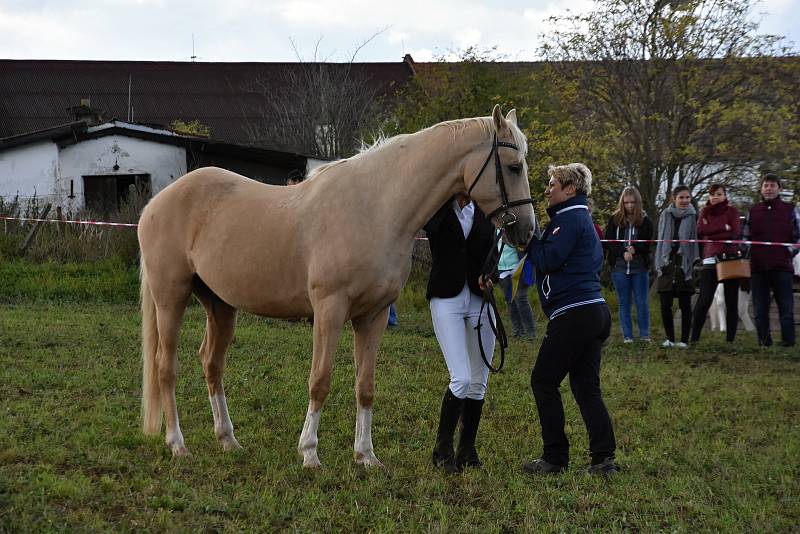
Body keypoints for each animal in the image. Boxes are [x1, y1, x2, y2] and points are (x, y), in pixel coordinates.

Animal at [140, 104, 536, 468]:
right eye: (514, 167)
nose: (527, 231)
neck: (375, 209)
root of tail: (158, 201)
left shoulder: (374, 316)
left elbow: (366, 386)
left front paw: (366, 456)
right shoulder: (329, 311)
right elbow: (320, 380)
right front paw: (309, 453)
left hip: (219, 304)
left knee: (212, 363)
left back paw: (228, 440)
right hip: (170, 297)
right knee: (165, 367)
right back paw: (177, 444)